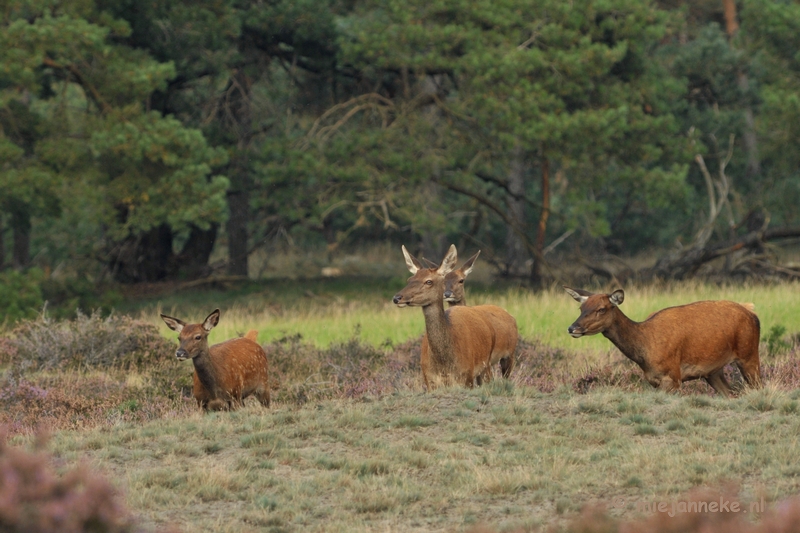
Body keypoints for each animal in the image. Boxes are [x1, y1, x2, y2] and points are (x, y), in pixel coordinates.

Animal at [392, 244, 520, 386]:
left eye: (429, 281)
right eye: (409, 280)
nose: (397, 298)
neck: (445, 363)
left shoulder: (466, 376)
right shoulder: (429, 379)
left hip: (501, 358)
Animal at [564, 286, 764, 394]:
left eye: (601, 309)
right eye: (581, 308)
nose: (572, 328)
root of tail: (753, 314)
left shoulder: (673, 376)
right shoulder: (653, 380)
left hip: (749, 355)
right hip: (713, 371)